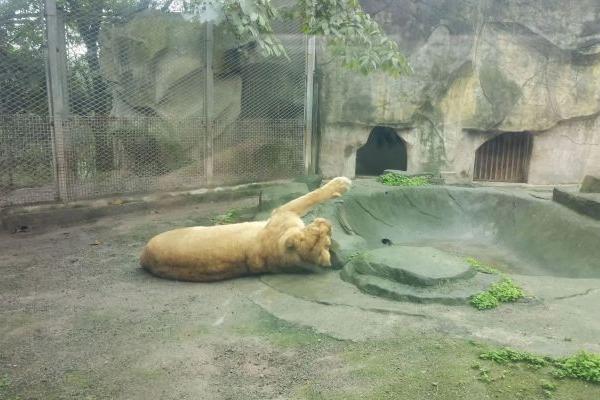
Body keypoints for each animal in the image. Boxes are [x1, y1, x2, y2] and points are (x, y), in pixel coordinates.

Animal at [140, 177, 352, 282]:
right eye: (315, 231)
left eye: (326, 237)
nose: (328, 223)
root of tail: (144, 258)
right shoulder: (282, 212)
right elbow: (310, 196)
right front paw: (342, 182)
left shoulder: (281, 214)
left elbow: (310, 196)